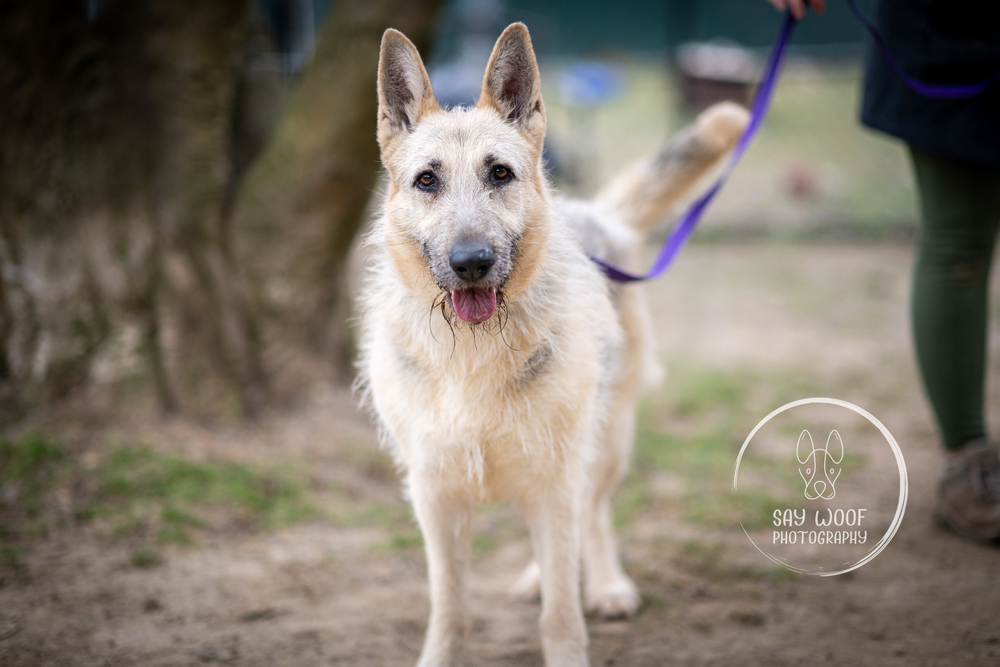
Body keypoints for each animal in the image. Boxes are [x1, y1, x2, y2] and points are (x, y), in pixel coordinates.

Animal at [356, 20, 748, 667]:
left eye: (500, 174)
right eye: (427, 180)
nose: (471, 262)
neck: (473, 352)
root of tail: (597, 215)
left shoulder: (555, 477)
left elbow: (562, 610)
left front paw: (571, 627)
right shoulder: (436, 497)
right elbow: (449, 608)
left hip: (605, 442)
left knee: (593, 515)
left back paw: (606, 583)